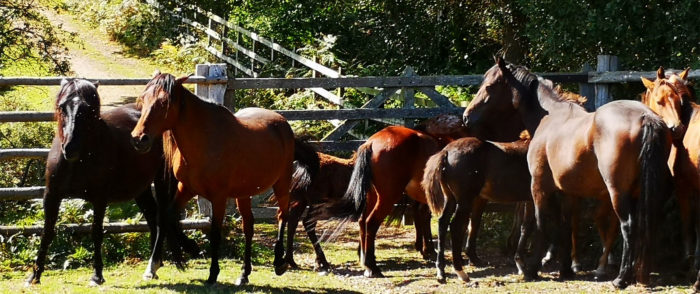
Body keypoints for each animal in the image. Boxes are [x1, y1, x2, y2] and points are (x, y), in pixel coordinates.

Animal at [24, 79, 194, 286]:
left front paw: (97, 275)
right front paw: (34, 276)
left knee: (161, 219)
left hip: (162, 180)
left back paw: (152, 267)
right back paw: (155, 265)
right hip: (141, 189)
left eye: (89, 109)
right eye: (62, 107)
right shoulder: (51, 196)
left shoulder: (99, 199)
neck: (78, 160)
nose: (70, 147)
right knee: (152, 218)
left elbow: (96, 232)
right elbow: (47, 232)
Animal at [130, 73, 318, 284]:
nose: (139, 139)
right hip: (244, 193)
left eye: (164, 102)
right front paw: (191, 247)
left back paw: (279, 262)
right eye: (143, 99)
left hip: (281, 184)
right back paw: (244, 274)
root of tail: (283, 124)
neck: (205, 141)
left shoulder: (218, 197)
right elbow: (169, 217)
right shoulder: (186, 188)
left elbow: (215, 233)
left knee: (282, 216)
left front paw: (213, 273)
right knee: (248, 226)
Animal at [464, 58, 672, 290]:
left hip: (618, 193)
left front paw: (532, 269)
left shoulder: (539, 188)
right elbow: (565, 225)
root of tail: (646, 117)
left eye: (489, 86)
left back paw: (620, 278)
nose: (466, 117)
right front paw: (565, 268)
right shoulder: (567, 192)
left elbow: (541, 223)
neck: (551, 117)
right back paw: (639, 275)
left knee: (628, 226)